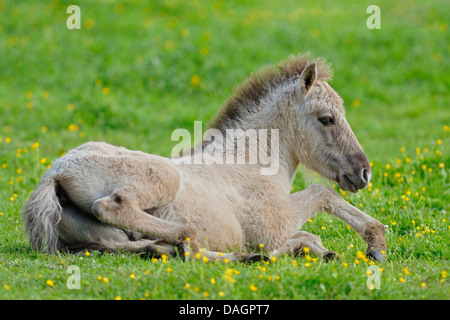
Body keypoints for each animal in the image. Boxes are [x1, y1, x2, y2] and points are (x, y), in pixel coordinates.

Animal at [22, 54, 386, 262]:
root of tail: (55, 171)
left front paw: (321, 251)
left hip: (101, 236)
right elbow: (323, 195)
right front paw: (376, 244)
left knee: (141, 248)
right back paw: (193, 239)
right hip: (162, 178)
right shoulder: (273, 224)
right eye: (327, 119)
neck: (250, 161)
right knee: (114, 207)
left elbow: (309, 237)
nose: (363, 172)